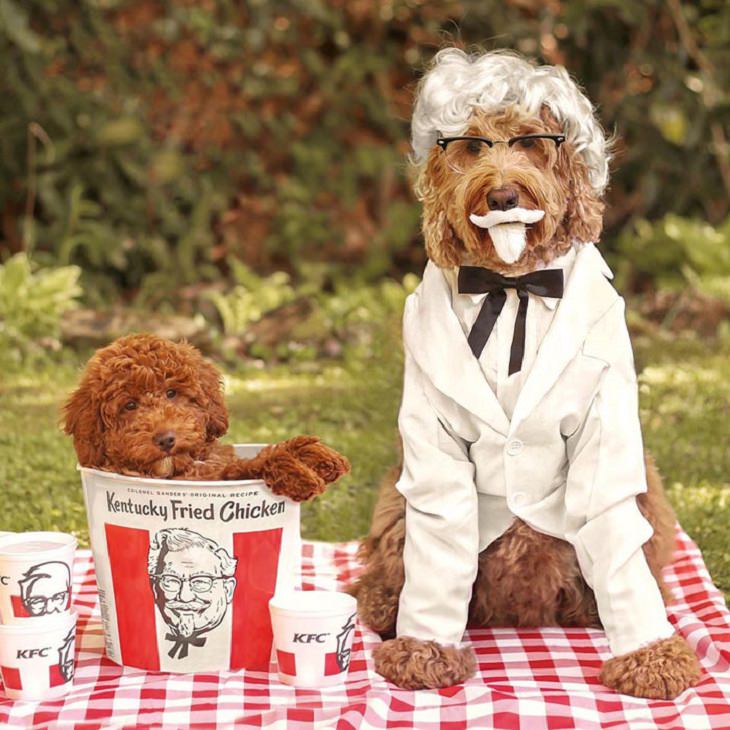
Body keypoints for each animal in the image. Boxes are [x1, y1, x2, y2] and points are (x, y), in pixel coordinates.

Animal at [61, 332, 346, 498]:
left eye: (171, 393)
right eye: (129, 406)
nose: (165, 439)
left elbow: (245, 464)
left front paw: (313, 454)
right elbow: (248, 467)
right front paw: (297, 472)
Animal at [348, 48, 700, 696]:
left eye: (534, 142)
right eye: (472, 146)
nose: (504, 195)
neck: (512, 287)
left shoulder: (608, 425)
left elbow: (611, 519)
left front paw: (651, 654)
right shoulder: (432, 442)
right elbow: (438, 528)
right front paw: (422, 650)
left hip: (645, 488)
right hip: (396, 496)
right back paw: (384, 605)